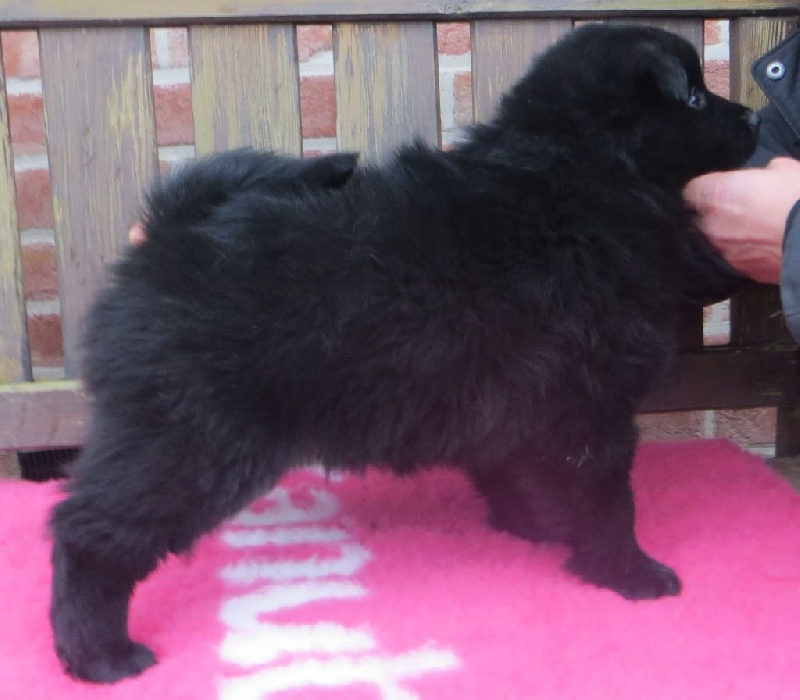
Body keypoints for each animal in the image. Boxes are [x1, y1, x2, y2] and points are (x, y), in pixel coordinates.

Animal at [50, 24, 758, 683]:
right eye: (696, 97)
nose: (753, 117)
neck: (577, 175)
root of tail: (169, 234)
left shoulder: (522, 404)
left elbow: (520, 472)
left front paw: (533, 526)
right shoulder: (591, 405)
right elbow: (609, 502)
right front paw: (629, 572)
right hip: (192, 440)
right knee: (88, 533)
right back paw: (99, 653)